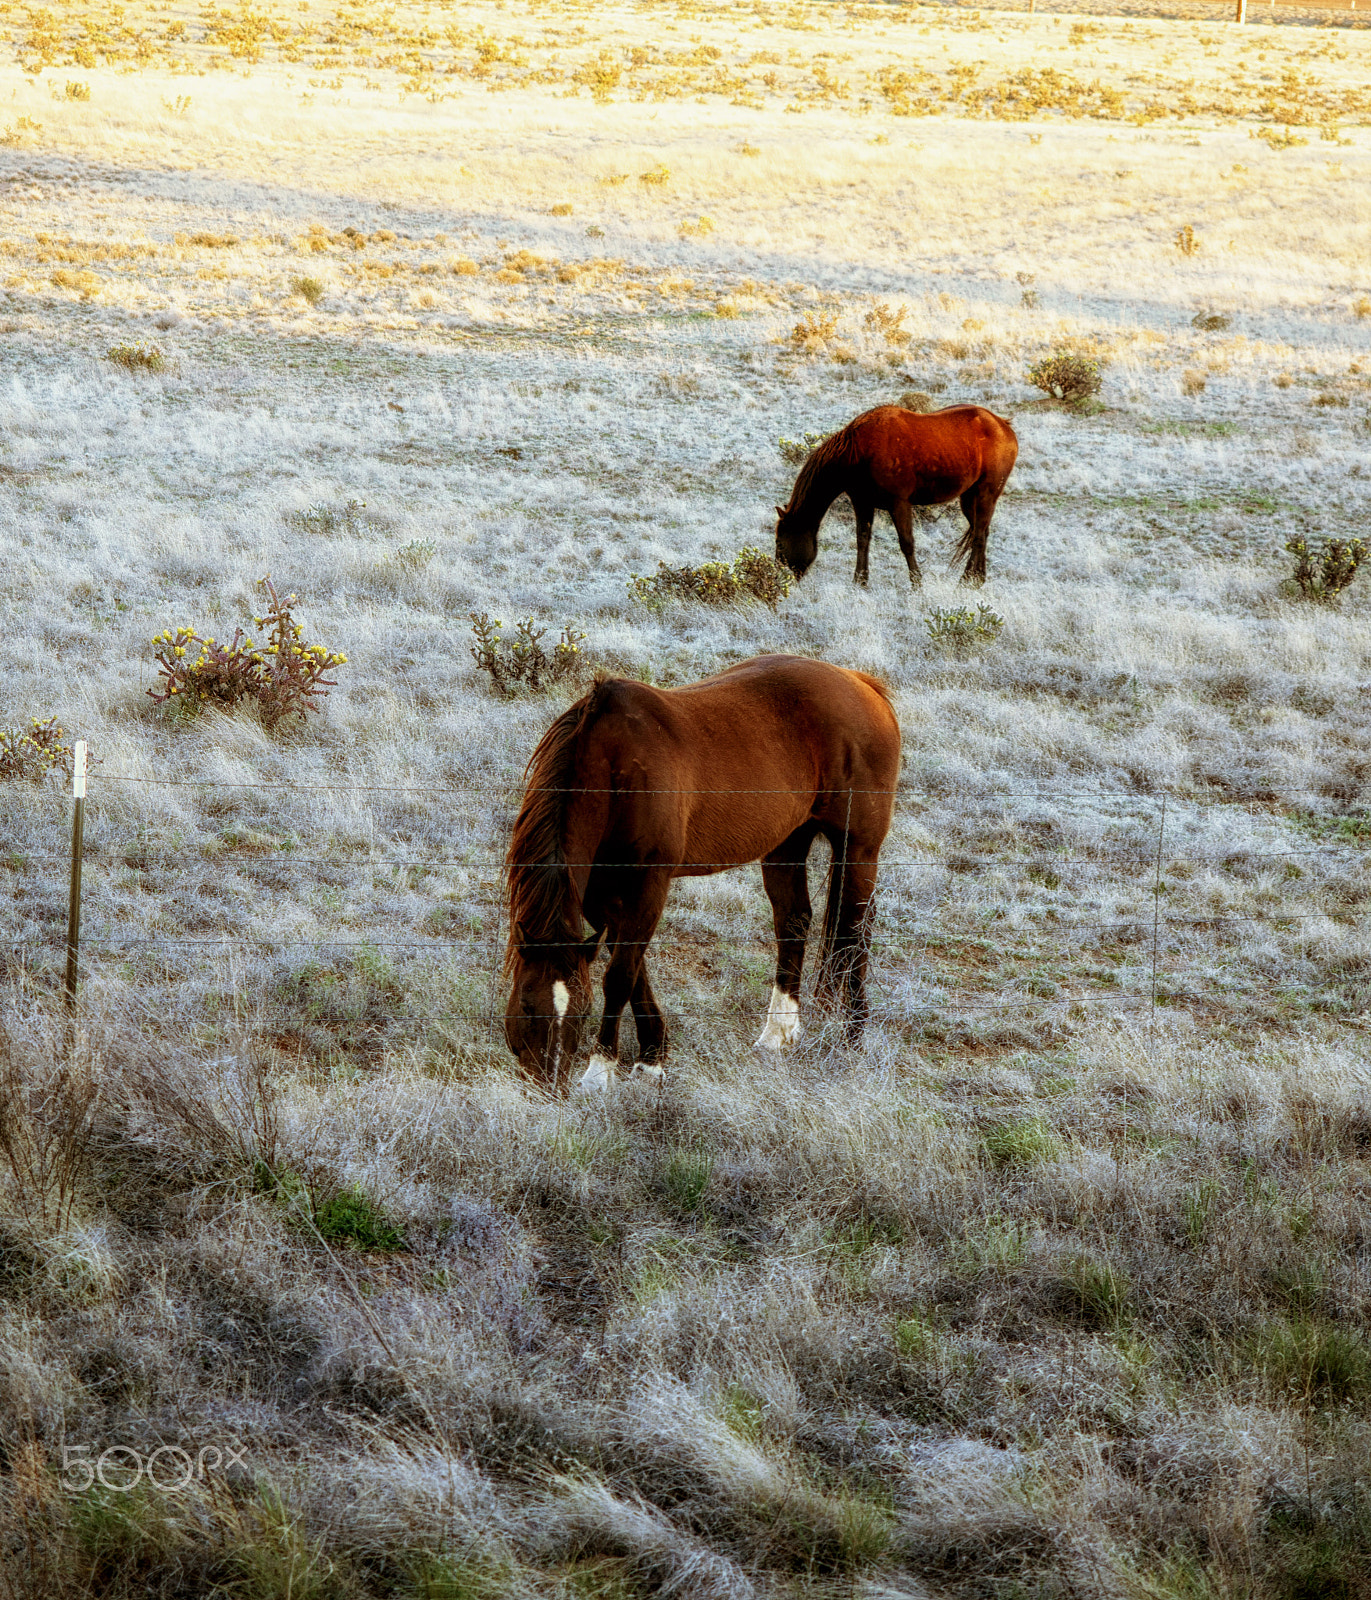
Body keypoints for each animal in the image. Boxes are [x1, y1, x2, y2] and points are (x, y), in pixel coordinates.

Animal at [502, 649, 895, 1088]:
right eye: (526, 1005)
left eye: (582, 1010)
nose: (549, 1081)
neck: (615, 766)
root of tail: (861, 684)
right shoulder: (600, 894)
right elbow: (631, 966)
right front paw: (652, 1055)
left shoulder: (649, 882)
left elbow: (620, 975)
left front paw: (601, 1072)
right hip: (787, 842)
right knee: (793, 921)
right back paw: (778, 1034)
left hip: (858, 848)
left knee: (854, 933)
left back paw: (850, 1037)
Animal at [774, 403, 1011, 592]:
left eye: (779, 543)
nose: (778, 576)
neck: (860, 451)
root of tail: (1003, 426)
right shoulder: (862, 502)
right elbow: (862, 540)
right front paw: (860, 582)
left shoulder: (899, 504)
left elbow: (906, 543)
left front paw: (917, 585)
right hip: (968, 499)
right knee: (982, 532)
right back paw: (978, 578)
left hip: (986, 494)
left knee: (978, 536)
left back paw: (966, 580)